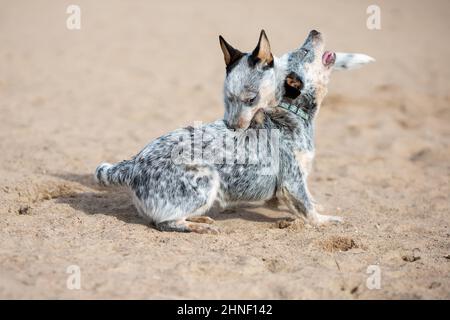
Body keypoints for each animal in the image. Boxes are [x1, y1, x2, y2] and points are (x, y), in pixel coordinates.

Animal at [94, 30, 372, 234]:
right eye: (303, 51)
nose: (314, 31)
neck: (287, 112)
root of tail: (132, 165)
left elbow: (307, 199)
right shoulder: (292, 180)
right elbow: (307, 209)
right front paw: (325, 220)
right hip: (206, 178)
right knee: (165, 223)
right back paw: (198, 226)